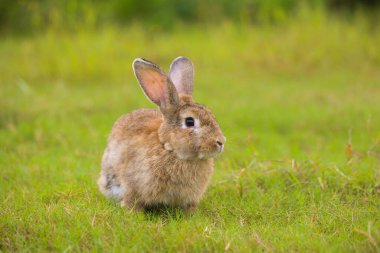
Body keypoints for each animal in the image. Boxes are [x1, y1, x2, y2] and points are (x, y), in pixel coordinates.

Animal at [98, 57, 226, 213]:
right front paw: (133, 212)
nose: (220, 142)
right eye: (189, 121)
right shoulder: (131, 184)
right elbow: (131, 199)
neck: (168, 147)